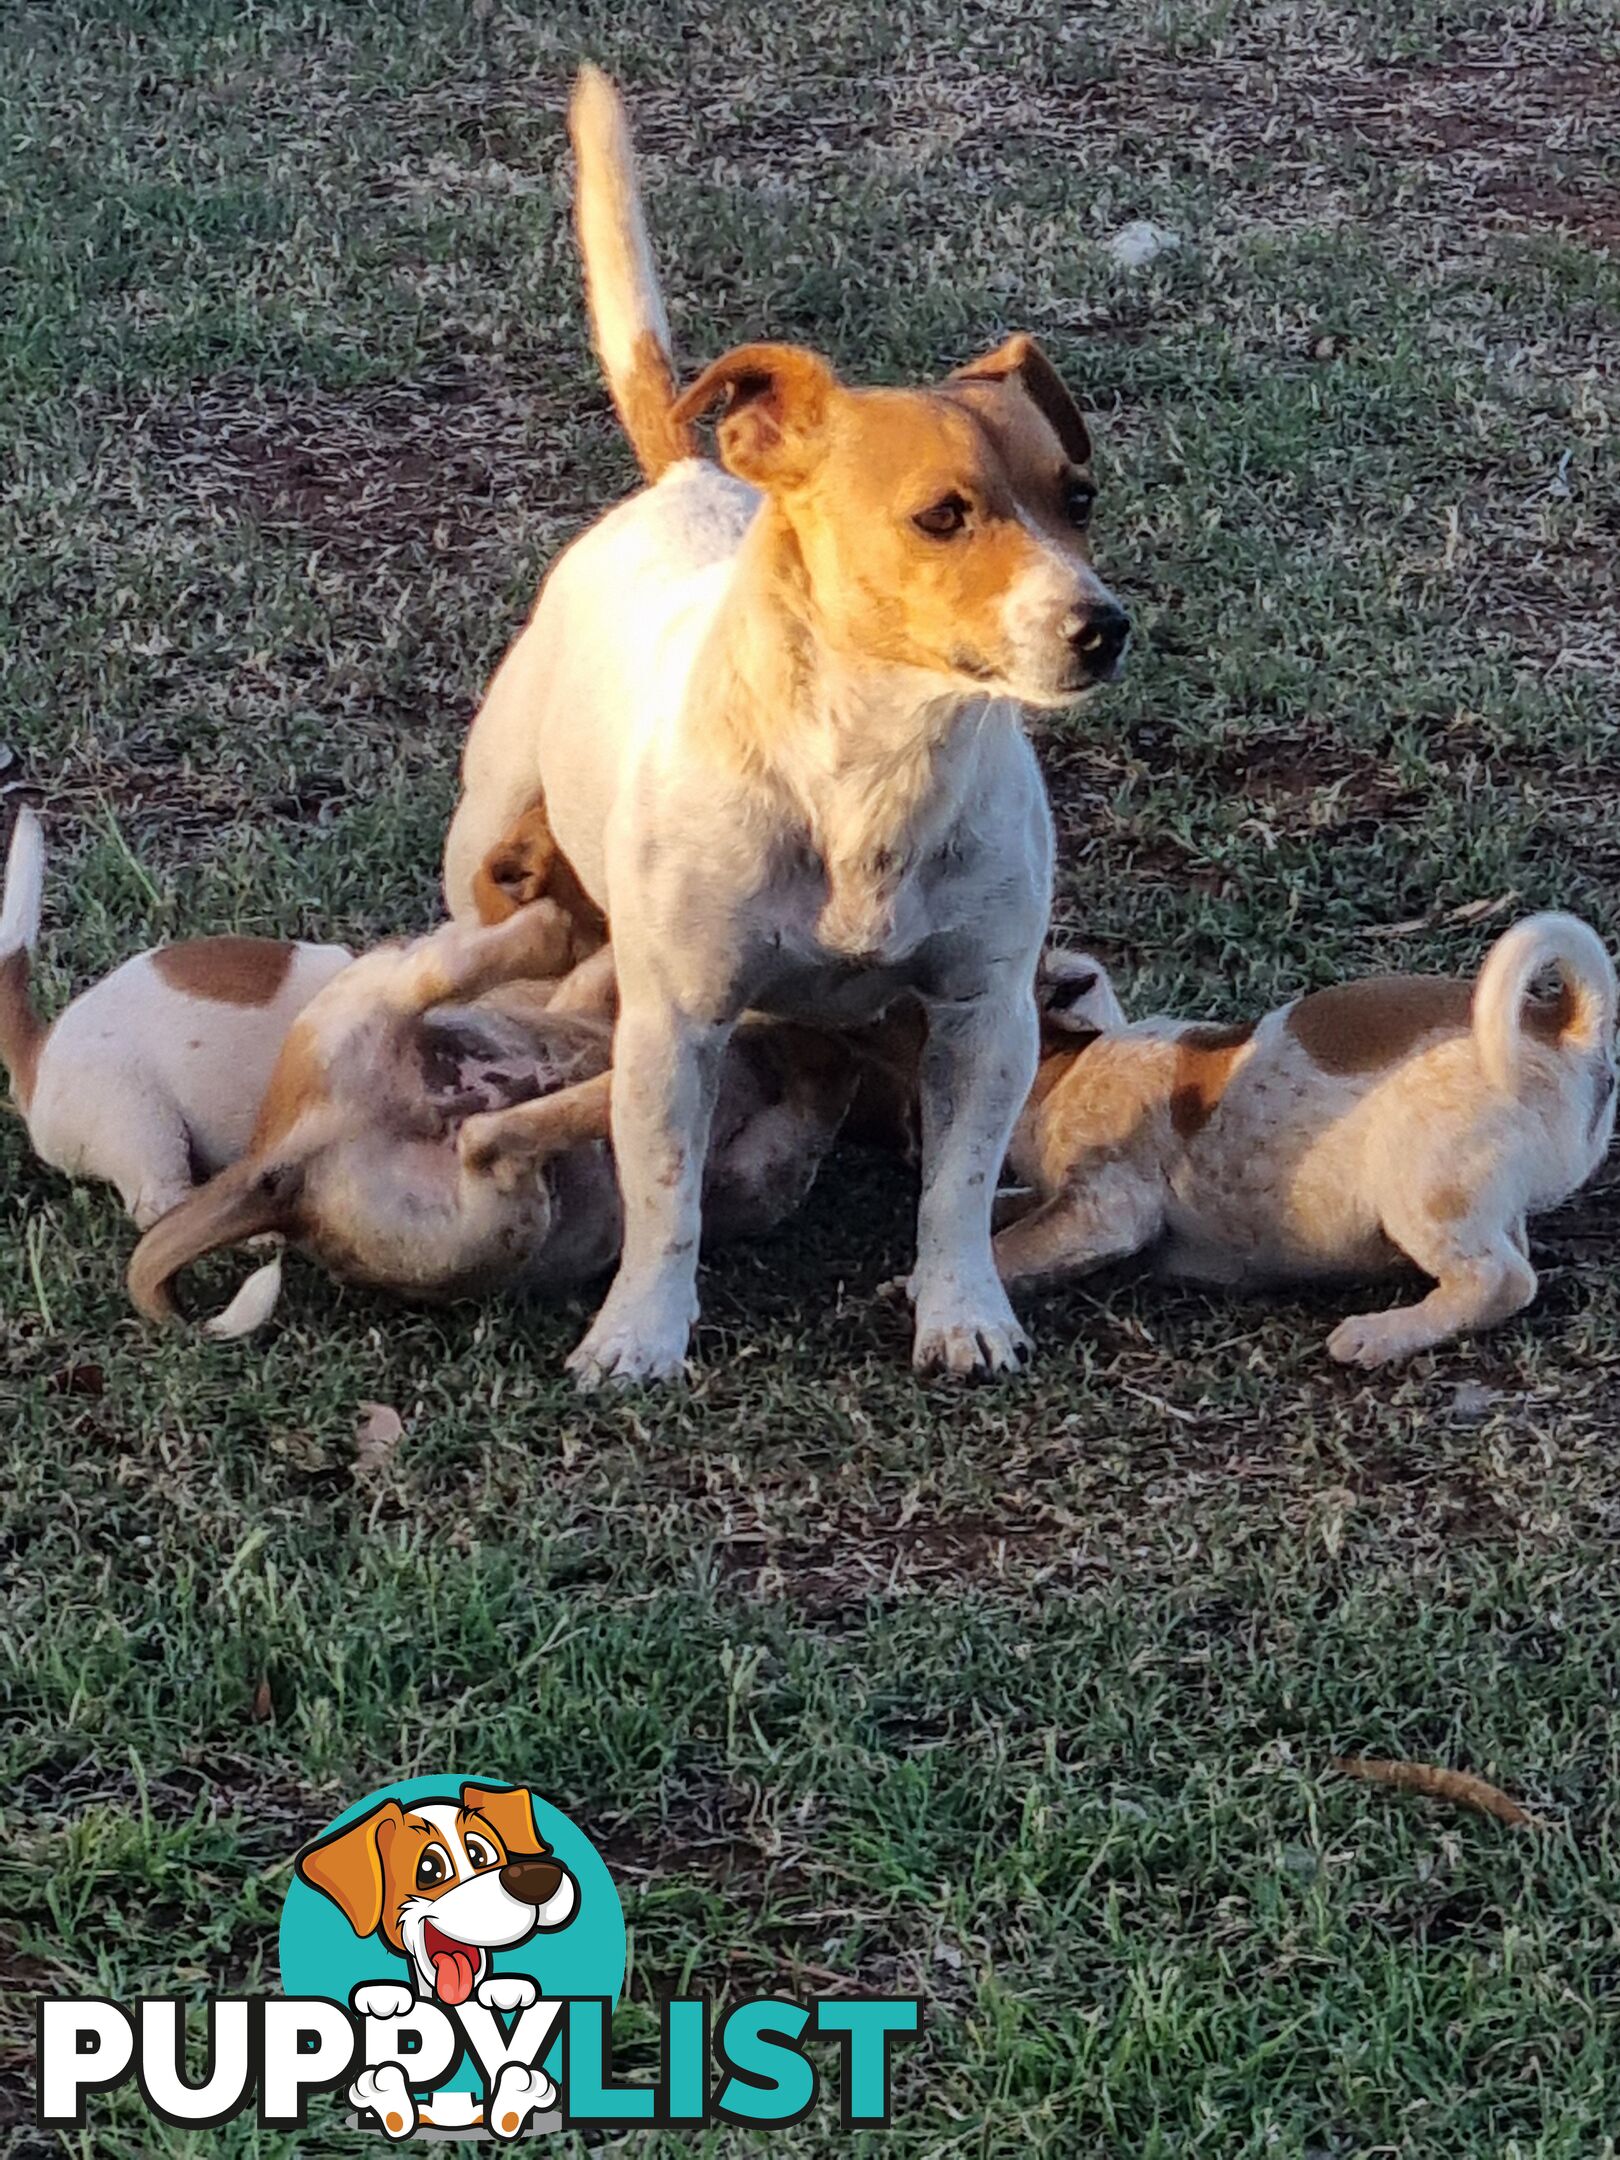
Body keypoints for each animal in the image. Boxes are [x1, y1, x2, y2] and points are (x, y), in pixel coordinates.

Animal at [444, 67, 1131, 1391]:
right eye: (942, 515)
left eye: (1076, 499)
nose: (1102, 626)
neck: (877, 773)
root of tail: (682, 477)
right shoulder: (676, 1029)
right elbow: (666, 1199)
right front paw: (639, 1335)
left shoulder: (985, 1016)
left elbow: (958, 1189)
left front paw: (961, 1310)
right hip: (485, 830)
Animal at [1010, 915, 1615, 1365]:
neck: (1065, 1070)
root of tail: (1565, 1030)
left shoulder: (1100, 1211)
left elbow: (1006, 1246)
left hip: (1421, 1185)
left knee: (1500, 1279)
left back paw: (1380, 1334)